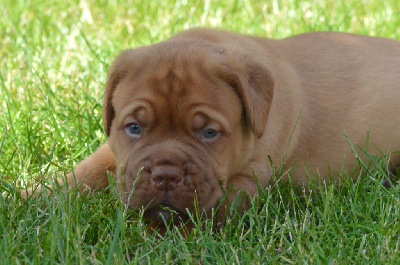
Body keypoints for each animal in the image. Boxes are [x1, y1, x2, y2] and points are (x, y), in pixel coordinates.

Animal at [22, 28, 400, 230]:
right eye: (133, 128)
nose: (165, 175)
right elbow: (83, 172)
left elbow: (201, 219)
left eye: (208, 133)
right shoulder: (114, 155)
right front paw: (28, 199)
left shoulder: (246, 181)